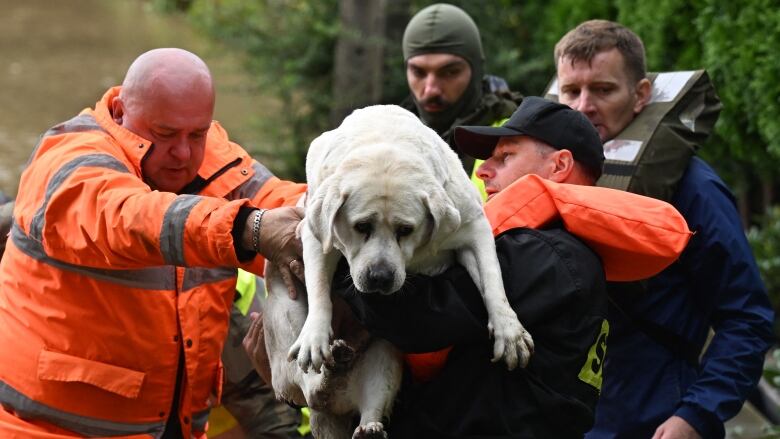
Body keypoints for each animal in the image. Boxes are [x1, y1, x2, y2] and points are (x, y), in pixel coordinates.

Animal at [266, 105, 532, 438]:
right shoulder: (315, 235)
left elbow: (493, 279)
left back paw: (366, 421)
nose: (380, 277)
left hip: (386, 356)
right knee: (309, 385)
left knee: (365, 399)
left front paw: (510, 332)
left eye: (406, 229)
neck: (385, 146)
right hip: (283, 320)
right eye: (361, 227)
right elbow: (318, 289)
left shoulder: (473, 228)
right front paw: (314, 336)